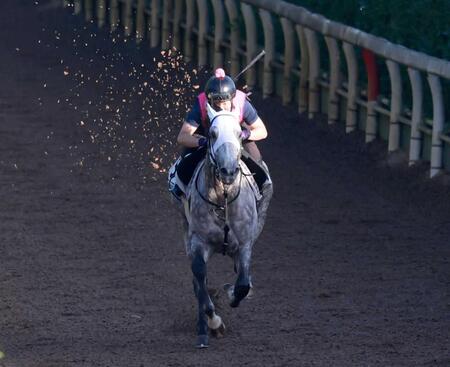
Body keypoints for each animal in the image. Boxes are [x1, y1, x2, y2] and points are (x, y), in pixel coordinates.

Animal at [176, 103, 274, 348]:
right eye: (212, 134)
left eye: (240, 133)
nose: (229, 171)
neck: (223, 199)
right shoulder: (198, 241)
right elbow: (200, 277)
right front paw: (214, 324)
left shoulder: (245, 244)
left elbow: (243, 284)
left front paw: (232, 293)